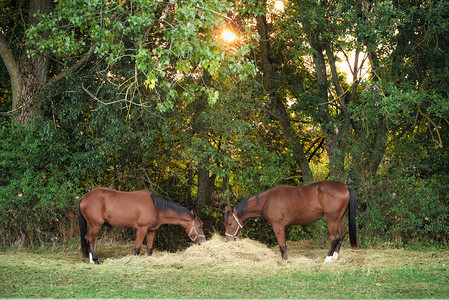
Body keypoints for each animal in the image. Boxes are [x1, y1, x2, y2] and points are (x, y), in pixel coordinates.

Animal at [224, 179, 356, 262]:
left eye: (230, 223)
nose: (228, 240)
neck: (267, 200)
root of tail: (345, 186)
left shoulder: (278, 226)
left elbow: (282, 245)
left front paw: (285, 260)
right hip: (339, 219)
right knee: (341, 236)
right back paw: (334, 258)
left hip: (332, 219)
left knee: (334, 238)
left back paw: (327, 259)